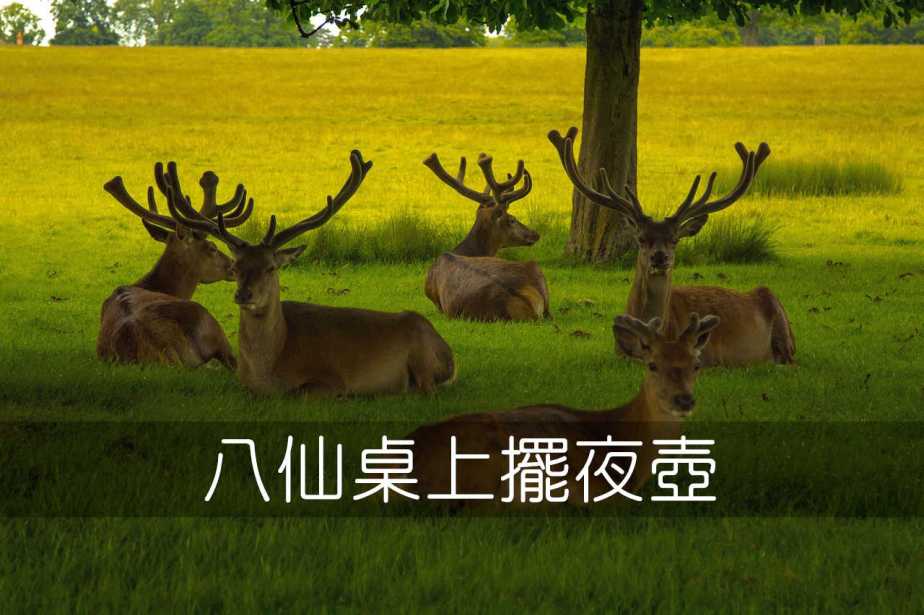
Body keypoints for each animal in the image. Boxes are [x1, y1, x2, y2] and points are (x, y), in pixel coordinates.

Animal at [164, 150, 456, 396]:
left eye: (271, 267)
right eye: (236, 268)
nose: (243, 294)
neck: (267, 372)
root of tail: (449, 355)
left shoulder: (330, 380)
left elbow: (303, 392)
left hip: (422, 355)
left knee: (427, 388)